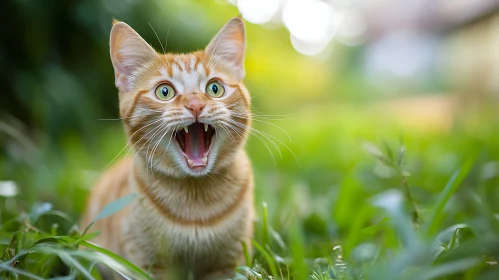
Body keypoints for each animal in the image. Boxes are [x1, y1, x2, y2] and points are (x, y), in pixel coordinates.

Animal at [81, 18, 256, 280]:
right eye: (165, 91)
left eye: (214, 88)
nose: (195, 105)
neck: (196, 206)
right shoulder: (146, 262)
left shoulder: (229, 263)